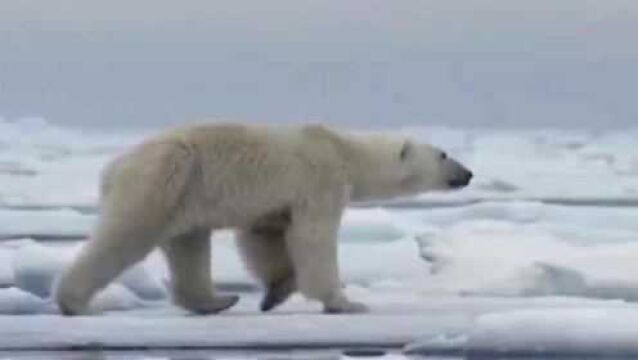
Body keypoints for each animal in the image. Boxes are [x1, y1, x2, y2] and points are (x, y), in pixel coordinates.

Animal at [56, 123, 476, 316]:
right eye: (443, 154)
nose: (468, 173)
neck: (342, 148)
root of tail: (114, 166)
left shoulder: (277, 203)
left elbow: (266, 235)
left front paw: (275, 293)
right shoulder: (319, 181)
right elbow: (313, 238)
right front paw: (346, 302)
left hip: (186, 192)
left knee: (189, 246)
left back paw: (218, 300)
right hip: (164, 179)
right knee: (125, 236)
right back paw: (74, 302)